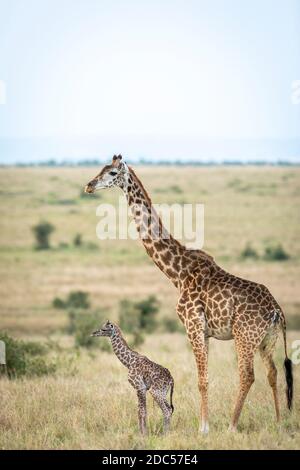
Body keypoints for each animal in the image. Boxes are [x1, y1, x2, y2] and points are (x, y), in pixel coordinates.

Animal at [85, 155, 292, 434]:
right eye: (102, 169)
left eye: (112, 173)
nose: (89, 185)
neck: (178, 273)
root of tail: (276, 311)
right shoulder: (205, 332)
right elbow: (205, 376)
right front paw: (205, 425)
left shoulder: (192, 325)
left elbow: (201, 379)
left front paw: (204, 429)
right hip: (266, 339)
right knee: (273, 372)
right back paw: (279, 422)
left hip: (244, 336)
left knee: (247, 375)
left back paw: (232, 425)